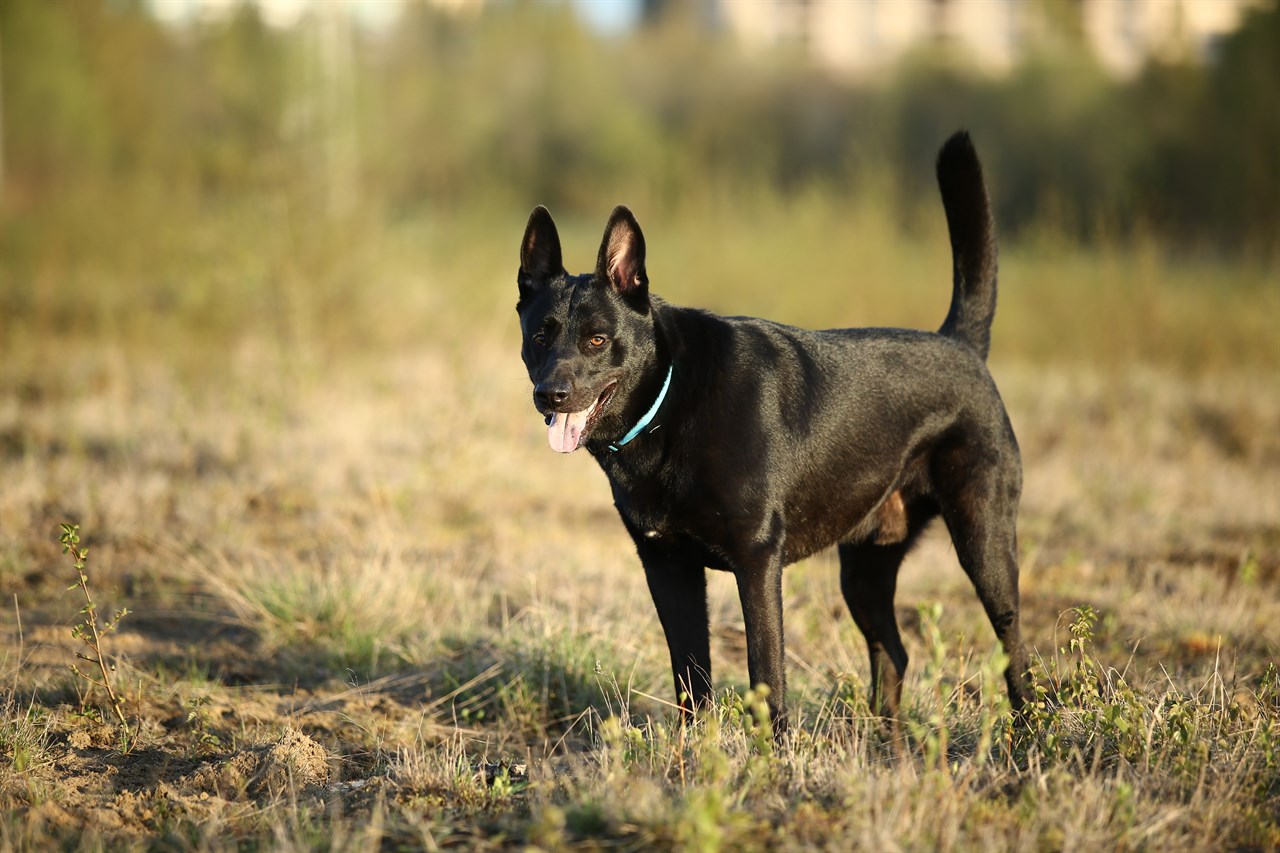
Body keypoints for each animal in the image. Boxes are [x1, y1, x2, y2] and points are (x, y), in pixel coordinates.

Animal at [514, 128, 1034, 732]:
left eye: (597, 340)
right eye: (541, 335)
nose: (550, 394)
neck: (671, 397)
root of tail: (961, 344)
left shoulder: (757, 560)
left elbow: (766, 671)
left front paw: (774, 750)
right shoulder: (667, 567)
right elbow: (690, 676)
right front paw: (696, 748)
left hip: (984, 543)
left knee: (1014, 649)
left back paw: (1030, 732)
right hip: (864, 571)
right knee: (894, 652)